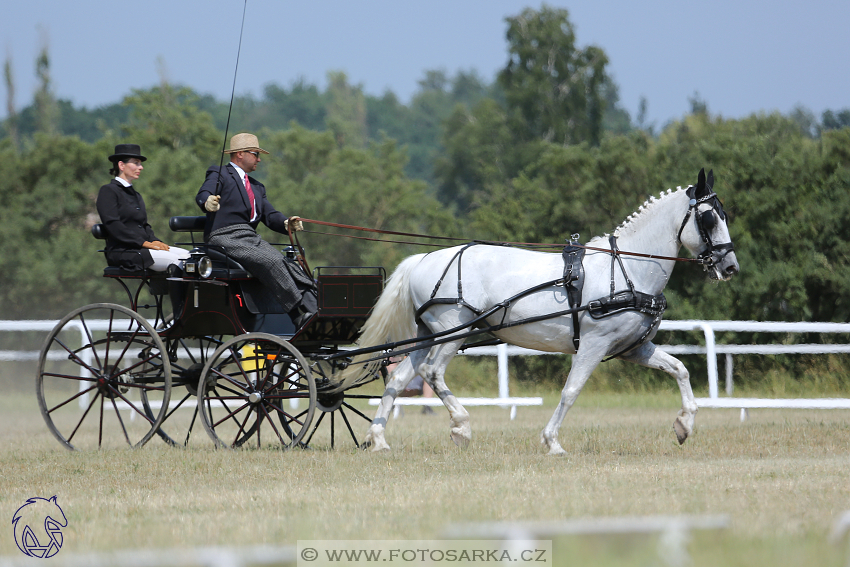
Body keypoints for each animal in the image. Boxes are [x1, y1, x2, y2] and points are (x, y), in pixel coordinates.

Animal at [352, 170, 736, 458]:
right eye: (708, 218)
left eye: (724, 215)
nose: (730, 267)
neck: (628, 268)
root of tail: (423, 258)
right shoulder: (594, 345)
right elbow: (571, 391)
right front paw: (552, 442)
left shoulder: (634, 349)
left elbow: (680, 369)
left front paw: (684, 425)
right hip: (454, 330)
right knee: (432, 372)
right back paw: (461, 426)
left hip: (427, 335)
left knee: (400, 379)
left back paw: (379, 439)